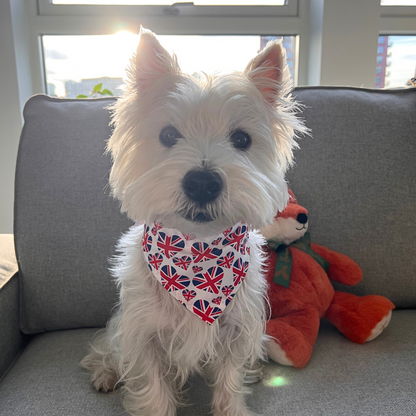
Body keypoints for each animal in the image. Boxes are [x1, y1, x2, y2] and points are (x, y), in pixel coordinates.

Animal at [80, 27, 306, 414]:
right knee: (106, 349)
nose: (202, 182)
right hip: (119, 328)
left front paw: (233, 406)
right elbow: (152, 388)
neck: (198, 255)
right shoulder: (144, 334)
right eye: (168, 135)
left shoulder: (236, 329)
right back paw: (106, 374)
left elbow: (229, 380)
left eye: (242, 139)